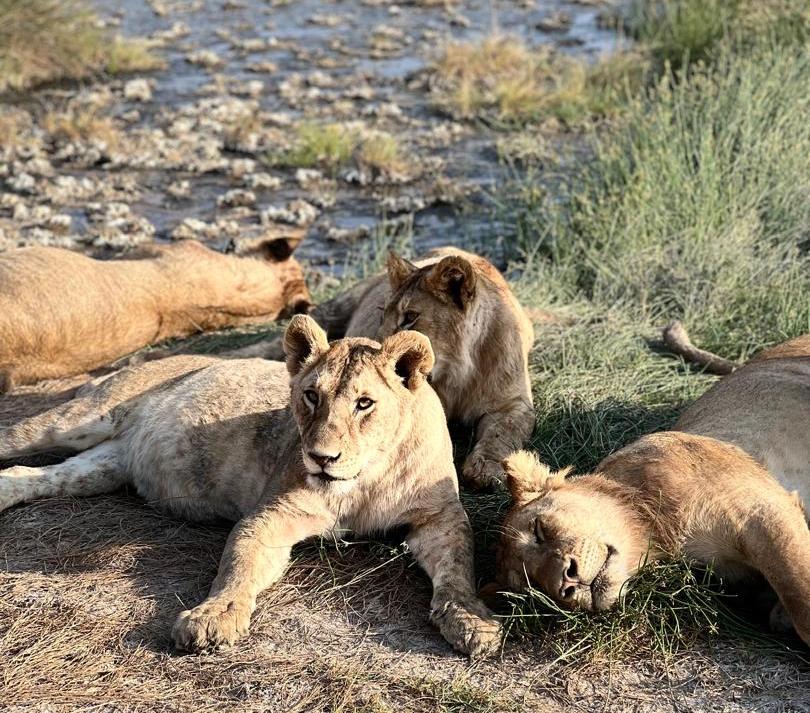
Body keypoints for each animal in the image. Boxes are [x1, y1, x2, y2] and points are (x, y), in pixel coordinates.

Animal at [0, 315, 501, 657]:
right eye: (311, 396)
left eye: (364, 403)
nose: (321, 458)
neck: (364, 481)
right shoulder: (273, 514)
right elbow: (238, 565)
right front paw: (214, 617)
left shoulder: (439, 516)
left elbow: (458, 565)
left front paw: (472, 621)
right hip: (79, 418)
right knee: (18, 440)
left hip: (103, 466)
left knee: (34, 475)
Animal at [229, 247, 536, 489]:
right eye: (382, 312)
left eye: (410, 317)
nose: (370, 347)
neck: (457, 374)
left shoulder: (515, 404)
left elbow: (502, 434)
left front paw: (485, 469)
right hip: (338, 306)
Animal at [489, 329, 810, 645]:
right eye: (533, 586)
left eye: (539, 531)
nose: (566, 584)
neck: (655, 532)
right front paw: (778, 613)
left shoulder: (761, 509)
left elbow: (800, 598)